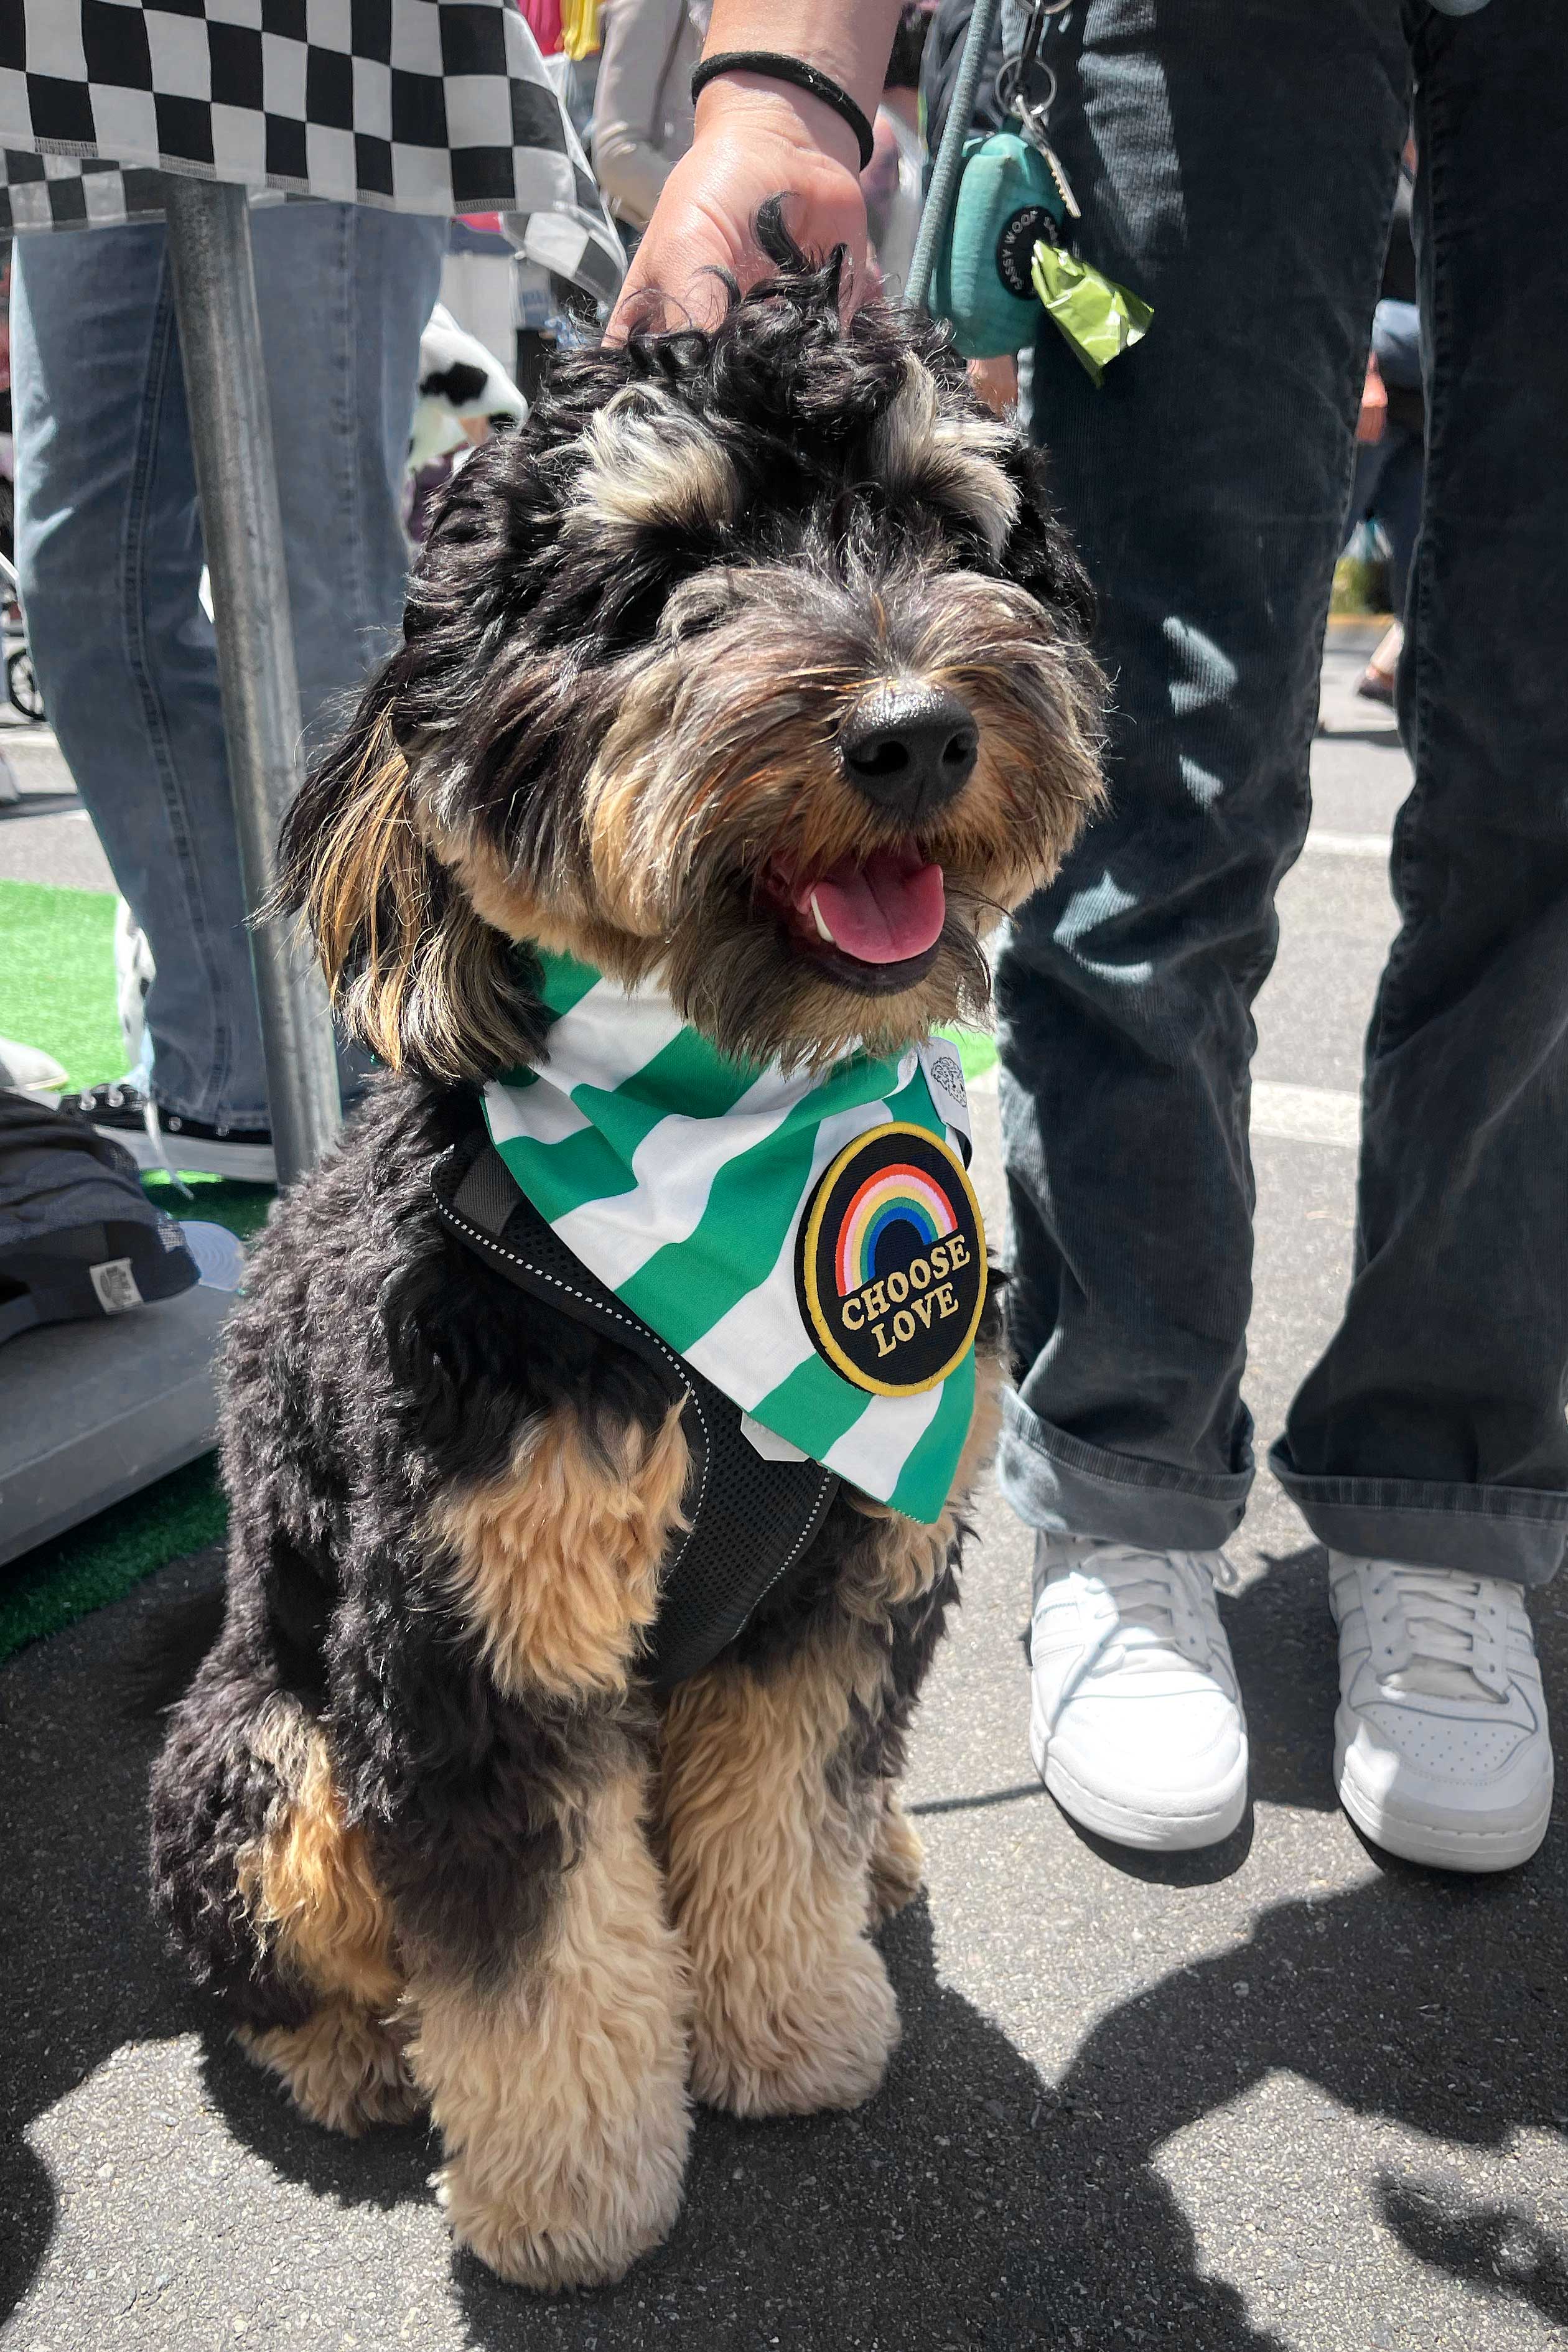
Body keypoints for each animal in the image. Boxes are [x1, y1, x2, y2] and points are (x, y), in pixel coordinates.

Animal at [150, 216, 1104, 2277]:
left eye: (942, 524)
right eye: (663, 581)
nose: (912, 728)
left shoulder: (845, 1585)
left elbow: (780, 1828)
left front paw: (796, 2026)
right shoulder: (474, 1635)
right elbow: (531, 1960)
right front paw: (575, 2195)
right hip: (264, 1753)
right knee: (279, 1949)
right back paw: (356, 2061)